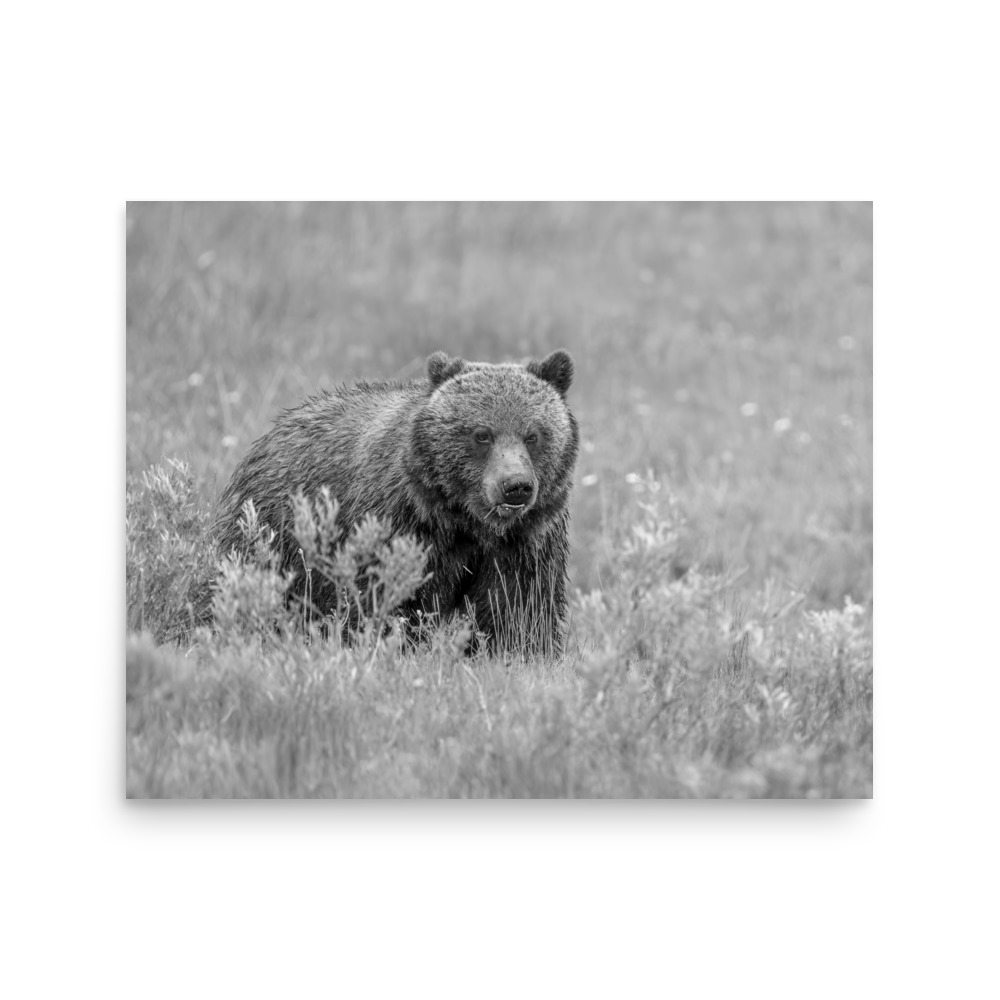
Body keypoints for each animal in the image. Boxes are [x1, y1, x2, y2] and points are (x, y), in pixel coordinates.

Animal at [213, 349, 579, 655]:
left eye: (533, 434)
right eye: (482, 434)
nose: (515, 486)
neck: (466, 521)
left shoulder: (526, 541)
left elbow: (519, 608)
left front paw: (520, 652)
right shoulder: (399, 523)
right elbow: (386, 597)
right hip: (274, 532)